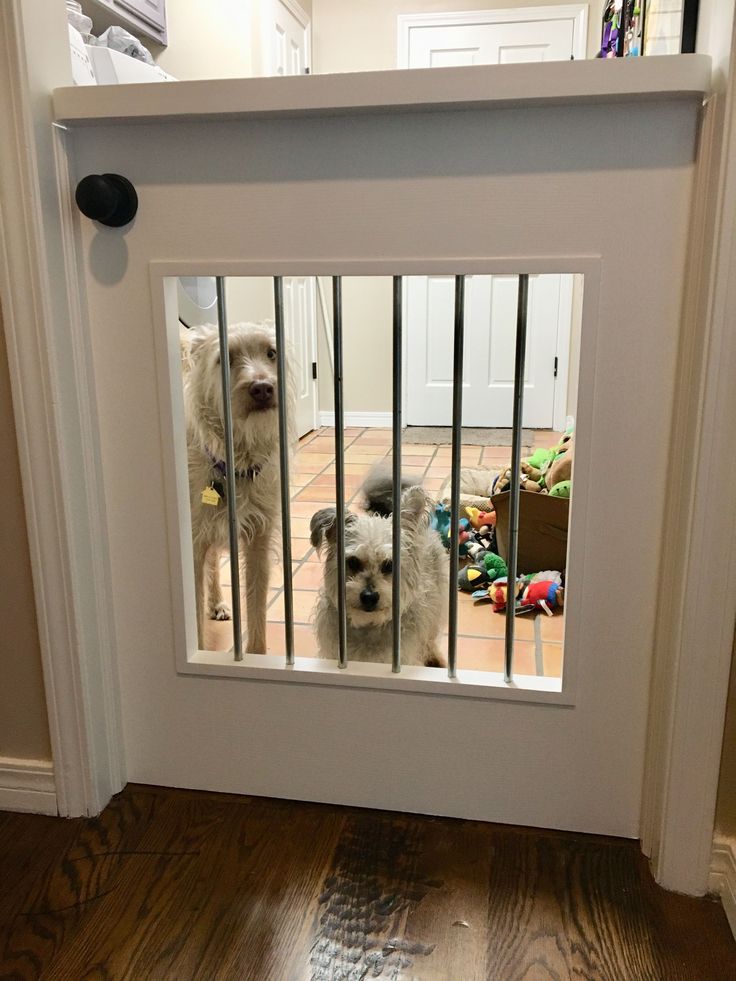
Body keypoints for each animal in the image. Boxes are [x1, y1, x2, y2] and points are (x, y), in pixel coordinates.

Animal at [183, 322, 294, 656]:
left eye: (271, 353)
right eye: (225, 358)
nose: (263, 388)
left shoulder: (259, 539)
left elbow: (256, 608)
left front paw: (257, 656)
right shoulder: (193, 540)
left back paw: (218, 602)